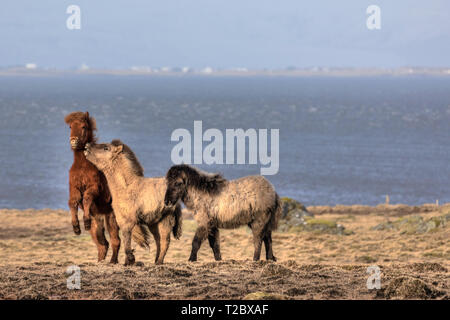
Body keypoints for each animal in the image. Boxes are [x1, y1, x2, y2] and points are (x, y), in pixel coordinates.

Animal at [66, 112, 149, 262]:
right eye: (70, 126)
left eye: (83, 126)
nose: (73, 141)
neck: (83, 168)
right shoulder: (74, 190)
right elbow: (72, 203)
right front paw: (76, 227)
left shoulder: (95, 189)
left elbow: (87, 198)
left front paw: (85, 222)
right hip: (99, 222)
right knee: (102, 244)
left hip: (111, 218)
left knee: (116, 241)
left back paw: (114, 261)